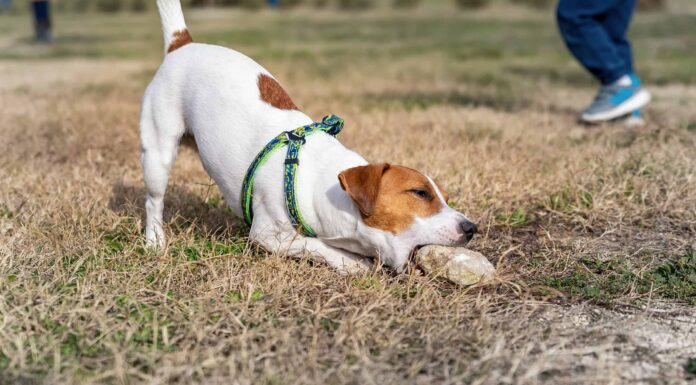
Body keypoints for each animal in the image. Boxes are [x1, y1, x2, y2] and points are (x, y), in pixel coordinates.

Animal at [141, 0, 478, 272]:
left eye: (444, 197)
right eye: (420, 193)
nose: (471, 227)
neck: (324, 186)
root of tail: (182, 44)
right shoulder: (269, 235)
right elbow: (315, 245)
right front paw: (352, 262)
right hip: (158, 153)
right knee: (154, 200)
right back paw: (155, 240)